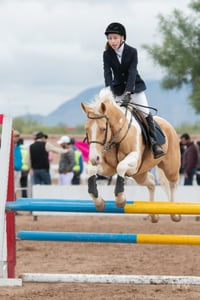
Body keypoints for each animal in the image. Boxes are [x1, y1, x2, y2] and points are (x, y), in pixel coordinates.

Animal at [80, 88, 180, 221]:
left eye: (103, 129)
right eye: (86, 129)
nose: (94, 158)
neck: (117, 137)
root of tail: (168, 125)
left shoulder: (134, 161)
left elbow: (121, 166)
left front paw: (120, 199)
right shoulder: (108, 168)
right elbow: (91, 170)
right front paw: (99, 201)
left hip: (170, 167)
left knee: (173, 184)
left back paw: (174, 212)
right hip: (139, 174)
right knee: (151, 182)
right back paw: (153, 215)